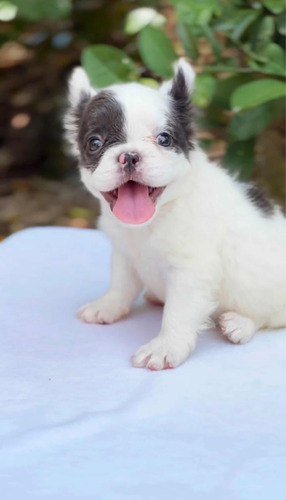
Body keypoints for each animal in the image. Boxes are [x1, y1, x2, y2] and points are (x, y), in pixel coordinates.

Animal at [65, 59, 286, 372]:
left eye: (164, 139)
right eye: (95, 143)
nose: (129, 155)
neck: (154, 219)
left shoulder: (190, 271)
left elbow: (178, 313)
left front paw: (165, 347)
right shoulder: (123, 254)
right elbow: (121, 284)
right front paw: (107, 306)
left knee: (270, 315)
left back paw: (239, 324)